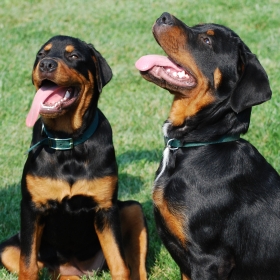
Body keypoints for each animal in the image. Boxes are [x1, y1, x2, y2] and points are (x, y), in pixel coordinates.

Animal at [0, 35, 148, 280]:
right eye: (41, 54)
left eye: (74, 56)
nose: (46, 64)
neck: (67, 143)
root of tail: (76, 269)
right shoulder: (31, 208)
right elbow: (27, 264)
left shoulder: (105, 209)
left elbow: (119, 264)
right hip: (8, 248)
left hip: (131, 208)